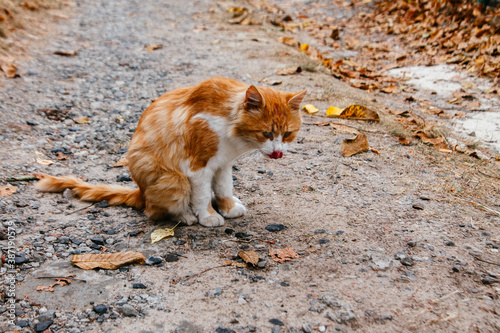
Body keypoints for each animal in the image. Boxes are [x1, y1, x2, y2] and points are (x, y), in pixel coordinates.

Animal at [34, 78, 304, 227]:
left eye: (287, 134)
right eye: (266, 134)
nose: (278, 153)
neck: (229, 126)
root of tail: (140, 192)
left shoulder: (223, 164)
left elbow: (224, 188)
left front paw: (227, 207)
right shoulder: (198, 168)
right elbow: (202, 196)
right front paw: (208, 216)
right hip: (174, 179)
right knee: (153, 211)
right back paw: (185, 216)